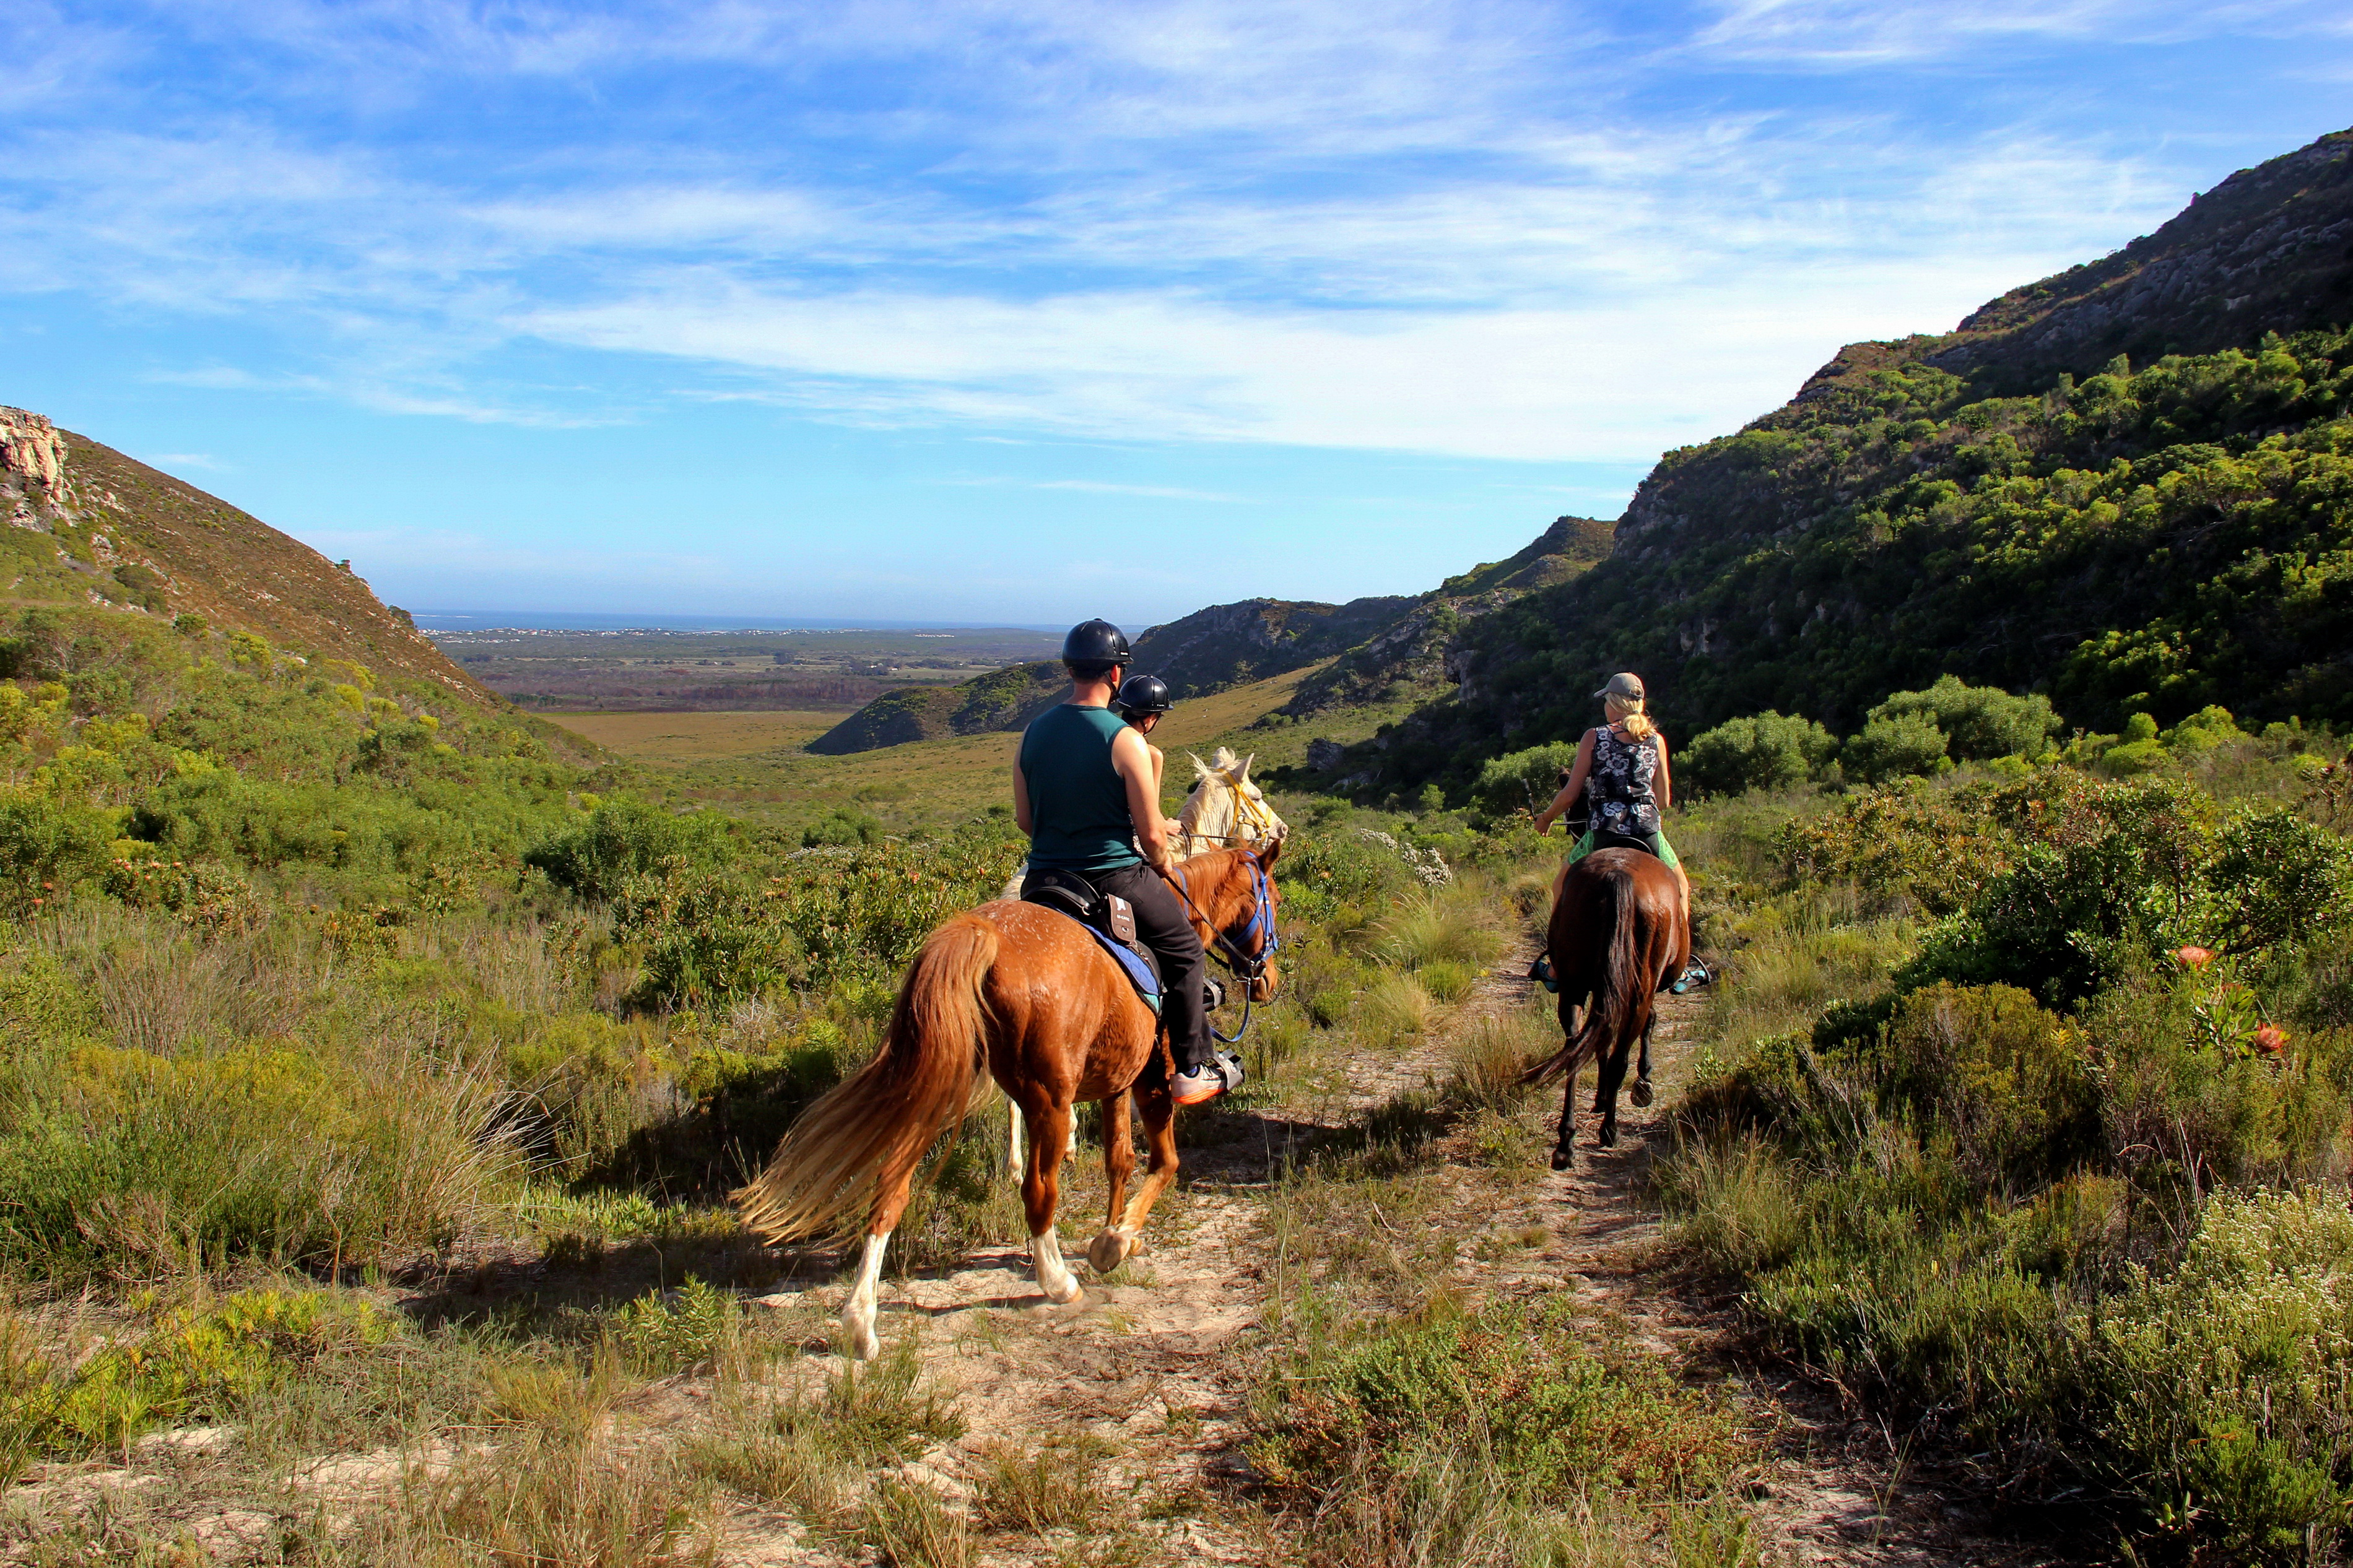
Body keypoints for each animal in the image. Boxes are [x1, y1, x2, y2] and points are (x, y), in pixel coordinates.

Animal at [733, 842, 1283, 1360]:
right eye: (1272, 898)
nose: (1268, 979)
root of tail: (983, 932)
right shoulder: (1153, 1075)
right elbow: (1164, 1162)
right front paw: (1115, 1240)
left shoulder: (1115, 1079)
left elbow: (1119, 1160)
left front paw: (1118, 1231)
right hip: (1048, 1102)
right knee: (1039, 1191)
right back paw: (1058, 1282)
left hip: (938, 1084)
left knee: (890, 1188)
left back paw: (861, 1323)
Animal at [1519, 847, 1689, 1171]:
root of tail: (1618, 876)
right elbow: (1645, 1026)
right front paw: (1643, 1082)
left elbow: (1599, 1045)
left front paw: (1600, 1097)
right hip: (1639, 990)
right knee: (1620, 1056)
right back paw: (1609, 1129)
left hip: (1573, 984)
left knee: (1574, 1048)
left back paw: (1565, 1144)